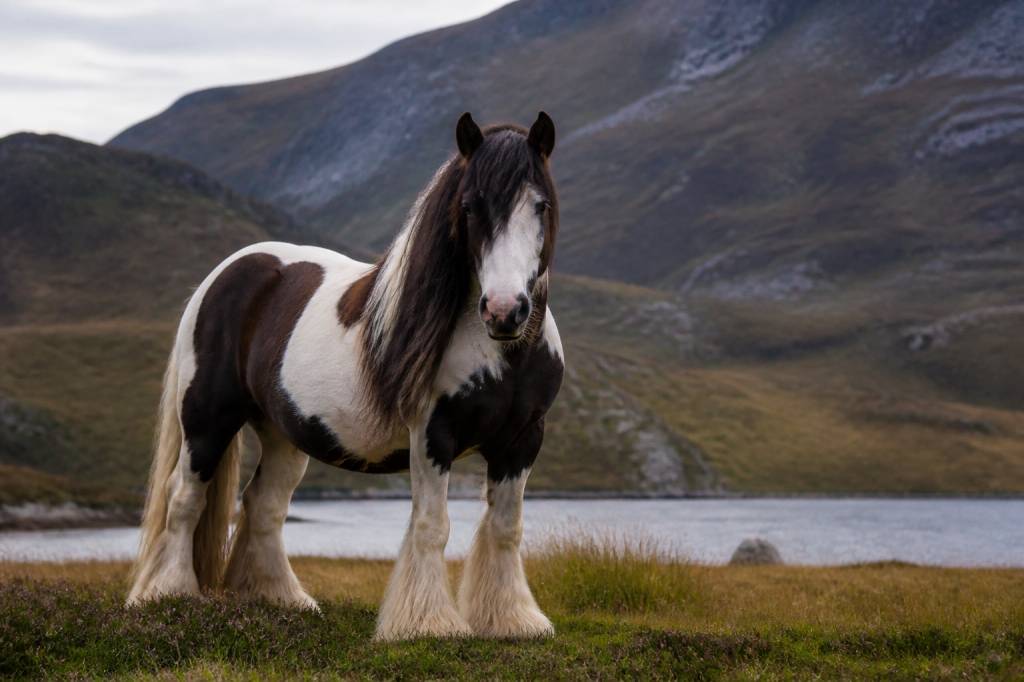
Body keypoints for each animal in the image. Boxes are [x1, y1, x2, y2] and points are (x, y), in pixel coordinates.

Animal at [126, 111, 564, 641]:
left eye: (540, 205)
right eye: (469, 206)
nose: (503, 311)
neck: (503, 355)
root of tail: (227, 272)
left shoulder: (522, 440)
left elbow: (506, 527)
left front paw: (511, 620)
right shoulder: (432, 434)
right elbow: (432, 525)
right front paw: (428, 624)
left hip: (283, 436)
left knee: (263, 505)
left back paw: (278, 598)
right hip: (207, 421)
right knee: (185, 498)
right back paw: (169, 592)